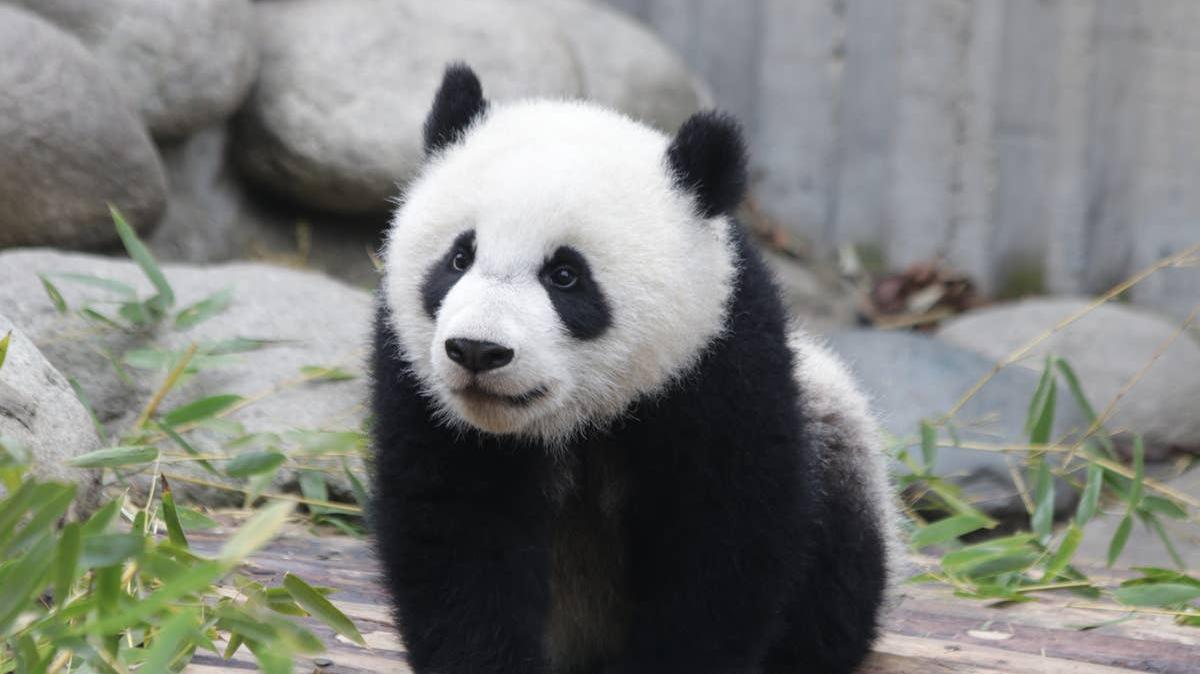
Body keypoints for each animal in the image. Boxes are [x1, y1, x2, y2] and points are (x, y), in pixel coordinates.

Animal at [371, 64, 903, 674]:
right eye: (459, 258)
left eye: (565, 276)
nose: (478, 351)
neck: (575, 421)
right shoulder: (421, 388)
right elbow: (461, 539)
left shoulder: (719, 362)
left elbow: (718, 543)